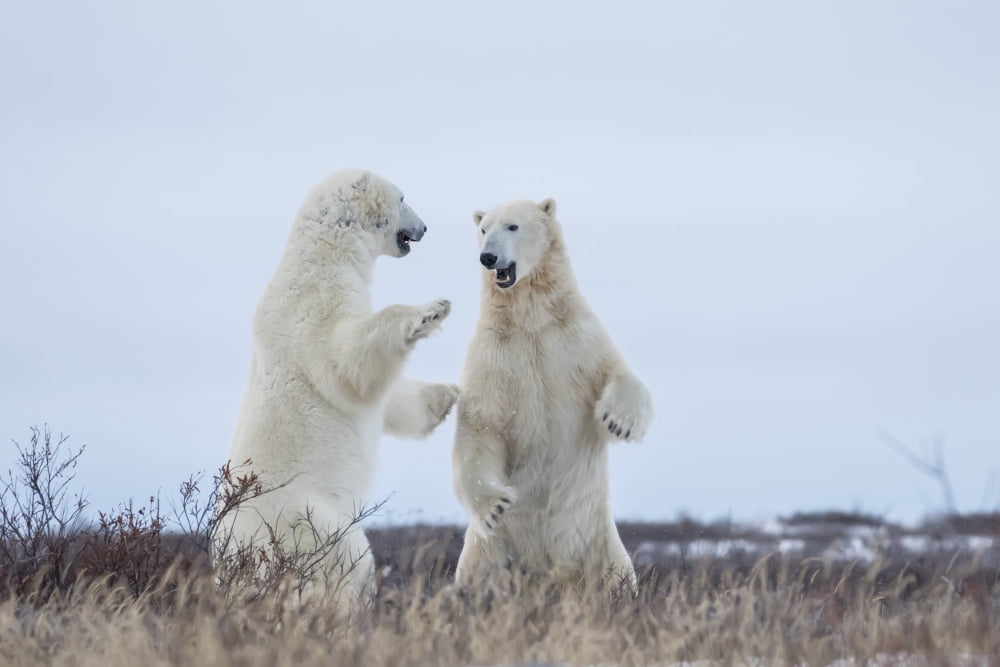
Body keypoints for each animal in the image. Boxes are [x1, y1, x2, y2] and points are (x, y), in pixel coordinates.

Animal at [214, 168, 459, 612]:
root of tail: (235, 556)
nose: (424, 227)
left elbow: (383, 395)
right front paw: (430, 311)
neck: (324, 254)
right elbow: (347, 363)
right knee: (347, 556)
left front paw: (446, 396)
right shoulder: (315, 302)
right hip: (305, 518)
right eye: (403, 198)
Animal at [452, 197, 653, 591]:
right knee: (477, 578)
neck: (530, 319)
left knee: (617, 579)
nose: (488, 257)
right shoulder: (493, 354)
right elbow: (481, 424)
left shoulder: (575, 337)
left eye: (512, 226)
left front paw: (617, 421)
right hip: (487, 551)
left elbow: (616, 371)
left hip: (600, 541)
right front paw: (495, 505)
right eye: (484, 229)